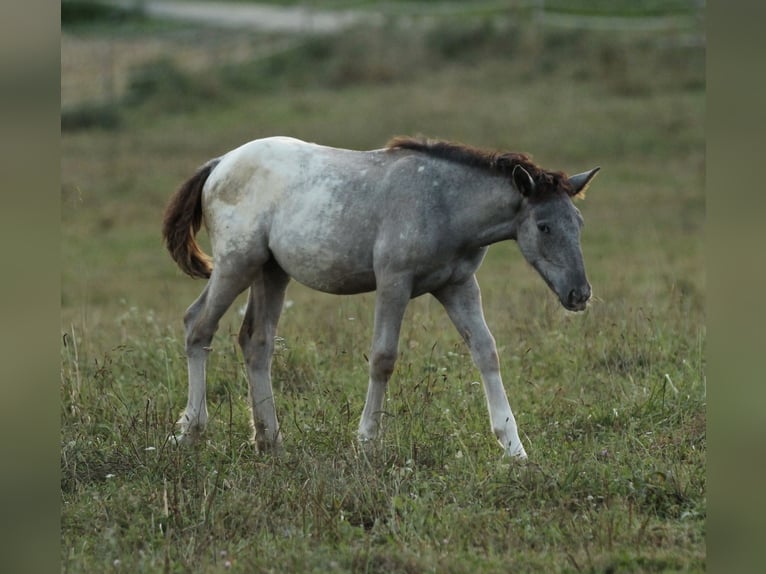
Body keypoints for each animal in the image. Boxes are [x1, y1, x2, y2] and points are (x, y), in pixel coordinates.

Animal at [165, 135, 604, 460]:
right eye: (544, 226)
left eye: (579, 223)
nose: (580, 293)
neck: (444, 203)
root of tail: (219, 163)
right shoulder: (394, 282)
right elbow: (383, 358)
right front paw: (366, 441)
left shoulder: (458, 286)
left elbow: (486, 351)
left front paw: (514, 448)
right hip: (236, 264)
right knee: (197, 325)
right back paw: (191, 430)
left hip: (271, 272)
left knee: (256, 342)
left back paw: (269, 440)